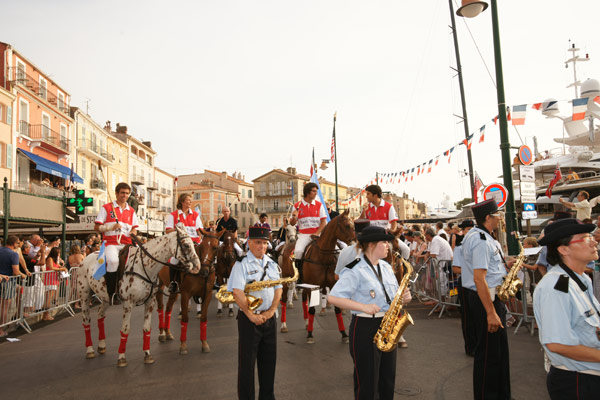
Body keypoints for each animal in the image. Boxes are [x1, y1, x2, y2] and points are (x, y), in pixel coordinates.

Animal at [76, 223, 199, 368]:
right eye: (186, 245)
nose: (197, 266)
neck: (143, 266)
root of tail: (86, 258)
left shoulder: (150, 302)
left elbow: (146, 328)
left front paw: (147, 355)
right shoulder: (128, 303)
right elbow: (125, 329)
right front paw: (121, 357)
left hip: (106, 297)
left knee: (100, 314)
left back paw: (101, 345)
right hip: (84, 296)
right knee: (86, 320)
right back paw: (89, 350)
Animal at [300, 209, 356, 344]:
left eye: (354, 225)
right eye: (347, 226)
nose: (354, 243)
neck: (323, 257)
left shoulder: (332, 284)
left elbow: (337, 309)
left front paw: (344, 334)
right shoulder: (312, 286)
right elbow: (312, 309)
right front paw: (310, 334)